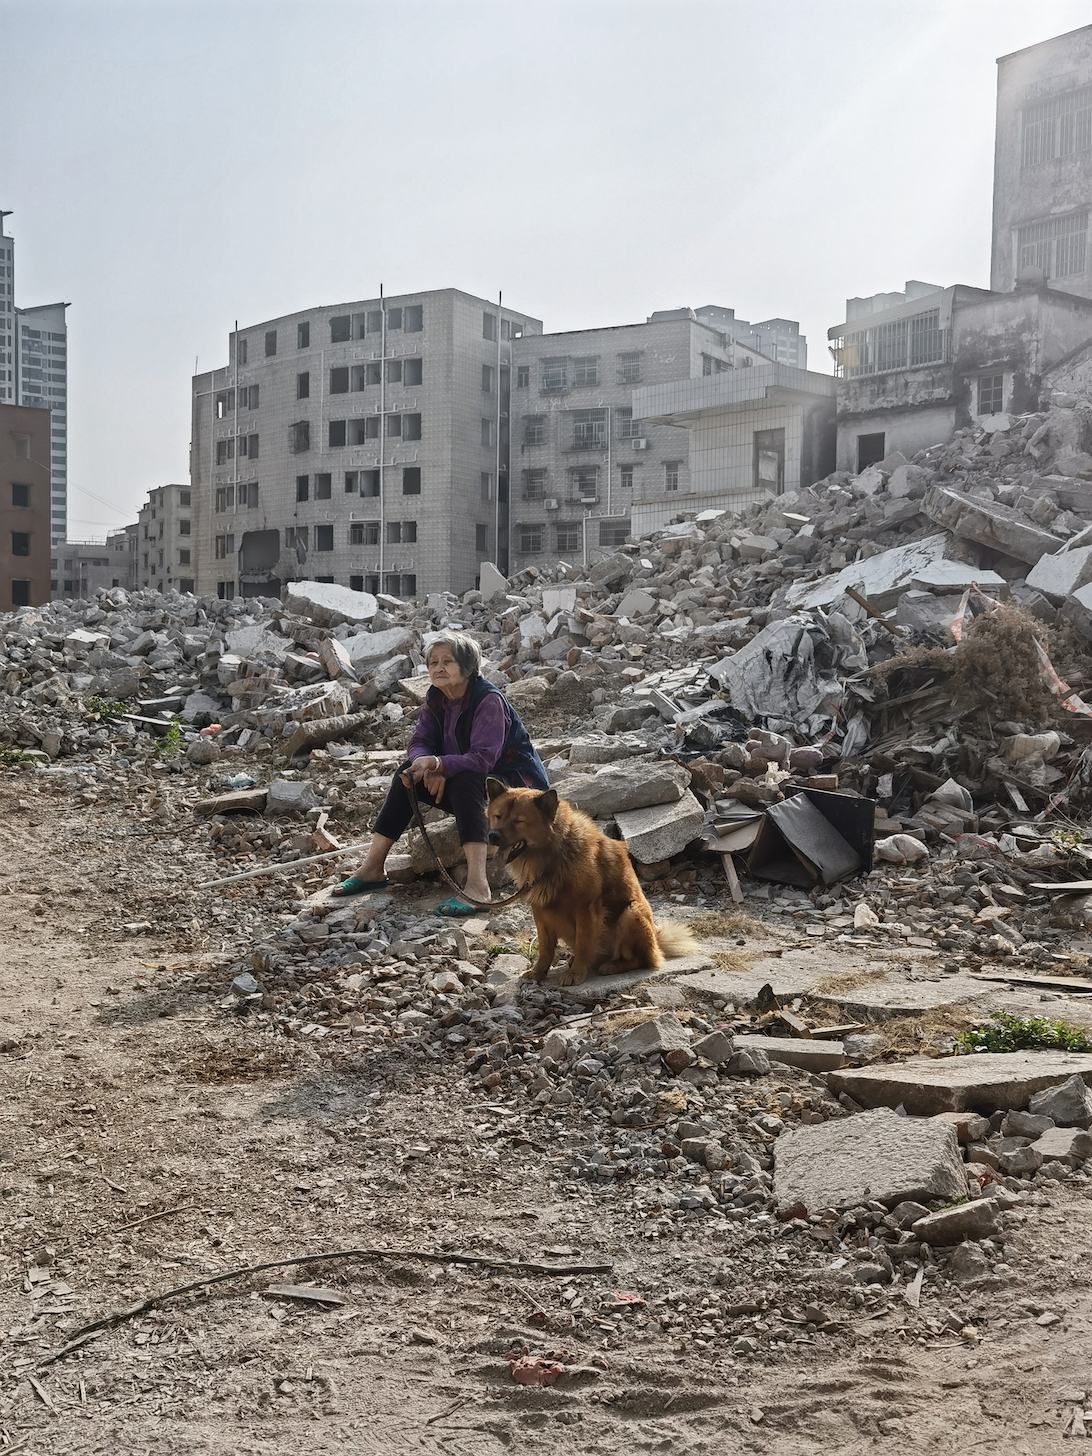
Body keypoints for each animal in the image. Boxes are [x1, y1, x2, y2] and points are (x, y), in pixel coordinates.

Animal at [489, 774, 701, 990]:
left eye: (519, 821)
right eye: (498, 816)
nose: (492, 836)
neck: (555, 855)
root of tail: (657, 943)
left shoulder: (586, 910)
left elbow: (583, 945)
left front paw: (576, 974)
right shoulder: (541, 911)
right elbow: (545, 948)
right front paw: (539, 972)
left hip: (630, 913)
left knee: (639, 959)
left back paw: (612, 966)